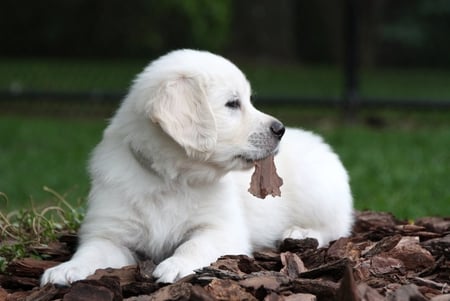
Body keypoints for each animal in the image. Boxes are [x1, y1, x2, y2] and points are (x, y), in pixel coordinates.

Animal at [40, 48, 354, 284]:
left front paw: (176, 264)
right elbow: (92, 252)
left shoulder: (221, 229)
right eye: (232, 104)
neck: (171, 178)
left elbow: (194, 243)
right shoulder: (111, 231)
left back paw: (300, 233)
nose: (280, 129)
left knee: (336, 226)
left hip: (317, 191)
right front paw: (66, 269)